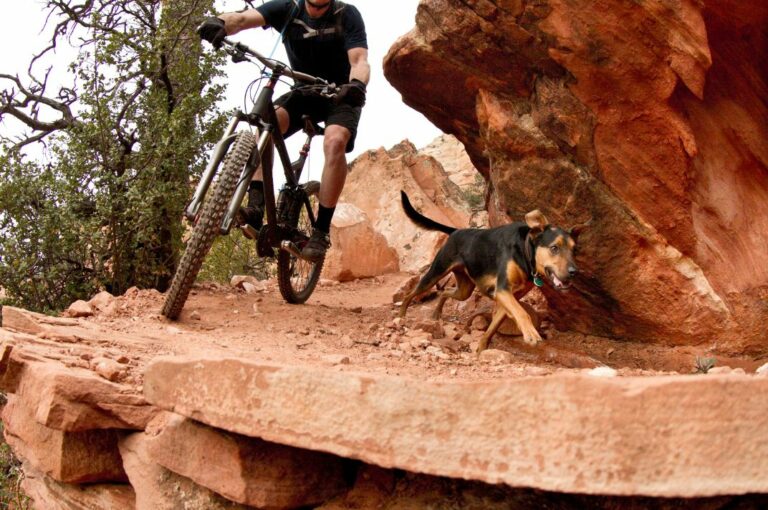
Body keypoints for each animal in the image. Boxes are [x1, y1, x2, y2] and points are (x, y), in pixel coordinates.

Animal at [400, 189, 580, 352]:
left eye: (574, 250)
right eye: (554, 248)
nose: (574, 272)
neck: (524, 250)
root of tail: (456, 231)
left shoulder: (507, 298)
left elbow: (492, 329)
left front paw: (480, 350)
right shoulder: (503, 290)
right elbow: (522, 313)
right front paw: (531, 334)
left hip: (464, 290)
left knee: (445, 292)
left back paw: (436, 313)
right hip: (435, 274)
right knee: (410, 294)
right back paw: (400, 317)